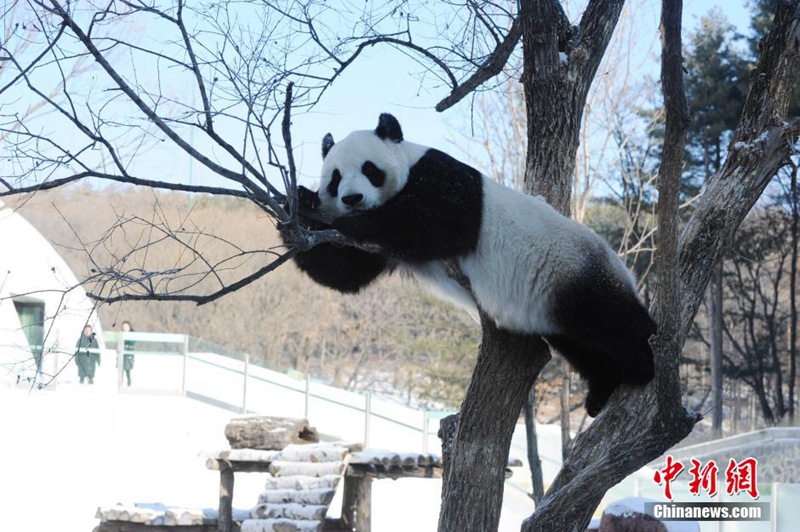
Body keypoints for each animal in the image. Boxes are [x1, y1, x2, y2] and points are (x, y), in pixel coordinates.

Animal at [286, 113, 655, 417]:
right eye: (335, 178)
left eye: (369, 169)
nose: (352, 199)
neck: (409, 164)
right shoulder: (376, 252)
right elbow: (343, 272)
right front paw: (301, 202)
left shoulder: (444, 179)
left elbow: (433, 222)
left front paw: (349, 220)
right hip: (556, 308)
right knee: (586, 348)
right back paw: (602, 391)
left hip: (577, 270)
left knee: (615, 322)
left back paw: (645, 363)